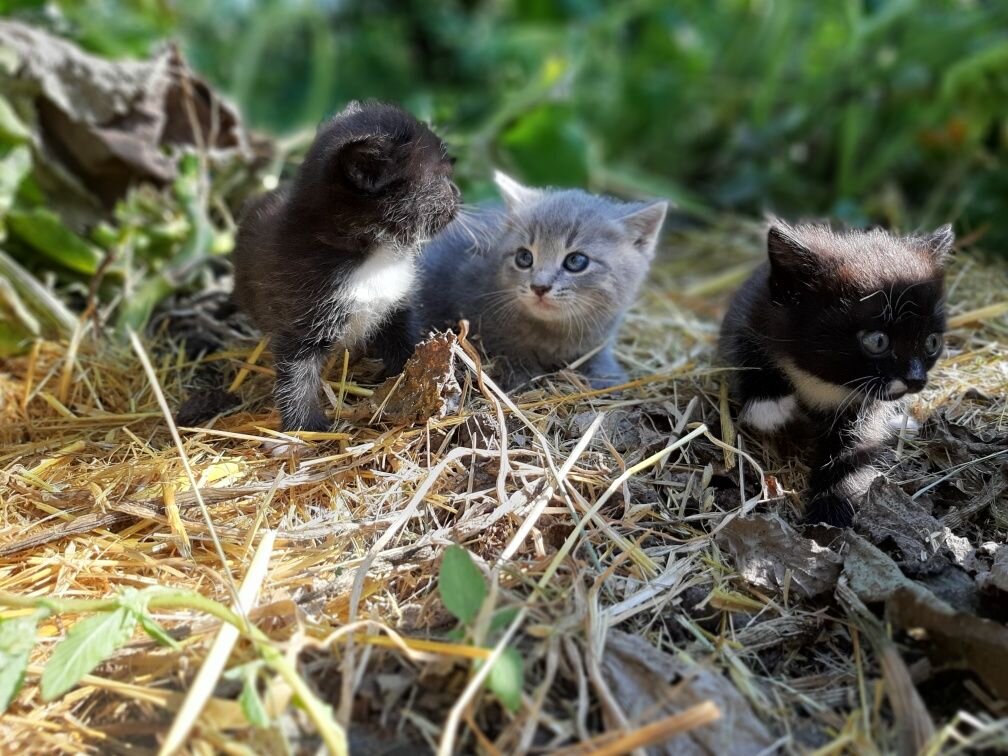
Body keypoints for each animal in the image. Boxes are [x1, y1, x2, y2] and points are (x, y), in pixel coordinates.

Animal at [231, 101, 457, 431]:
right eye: (440, 177)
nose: (458, 193)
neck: (372, 258)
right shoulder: (299, 322)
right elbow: (296, 376)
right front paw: (306, 427)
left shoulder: (395, 308)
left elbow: (405, 345)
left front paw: (416, 376)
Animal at [405, 172, 665, 391]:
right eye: (524, 257)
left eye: (576, 261)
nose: (539, 286)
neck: (552, 333)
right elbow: (508, 351)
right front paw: (521, 375)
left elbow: (597, 355)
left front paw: (607, 375)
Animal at [721, 218, 947, 528]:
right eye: (878, 341)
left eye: (931, 342)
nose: (916, 380)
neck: (824, 379)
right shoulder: (749, 310)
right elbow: (742, 349)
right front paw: (768, 405)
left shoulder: (864, 407)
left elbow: (855, 447)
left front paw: (833, 506)